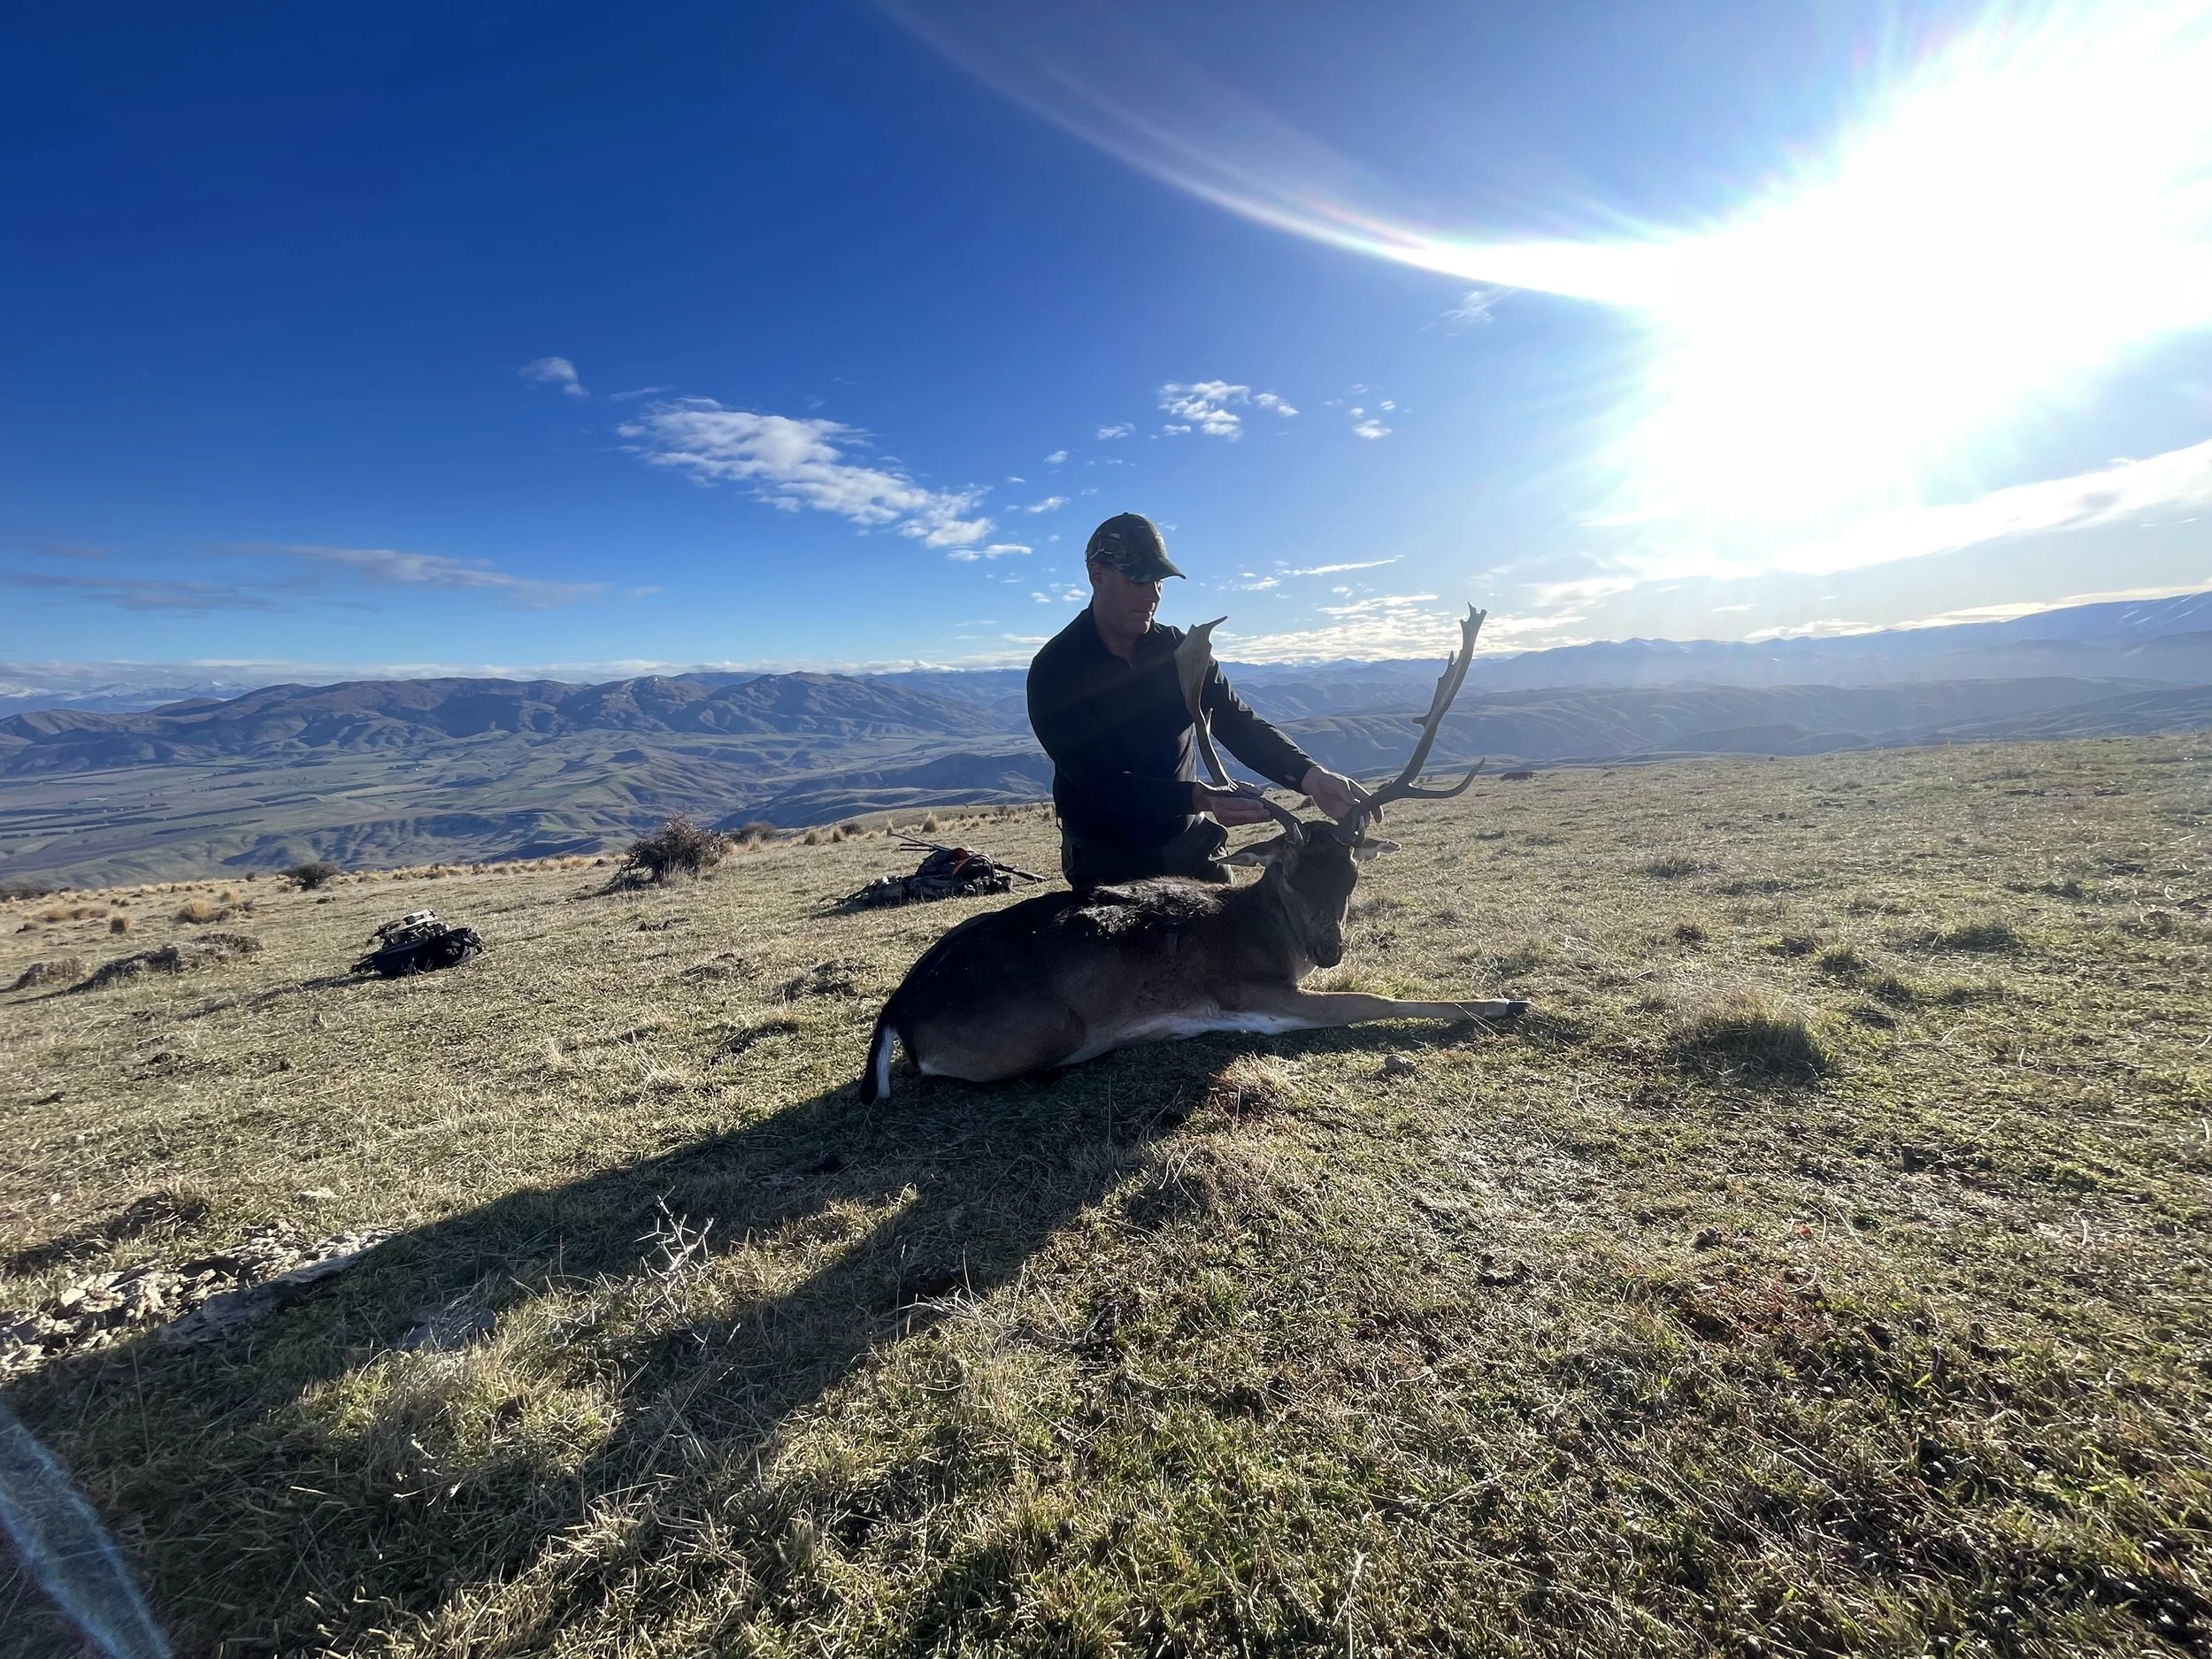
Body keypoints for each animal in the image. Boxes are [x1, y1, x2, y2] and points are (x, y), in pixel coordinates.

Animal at [857, 606, 1526, 1102]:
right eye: (1290, 874)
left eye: (1353, 876)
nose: (1328, 950)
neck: (1269, 936)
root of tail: (896, 1012)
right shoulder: (1249, 991)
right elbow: (1370, 1001)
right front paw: (1508, 1001)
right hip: (1036, 1030)